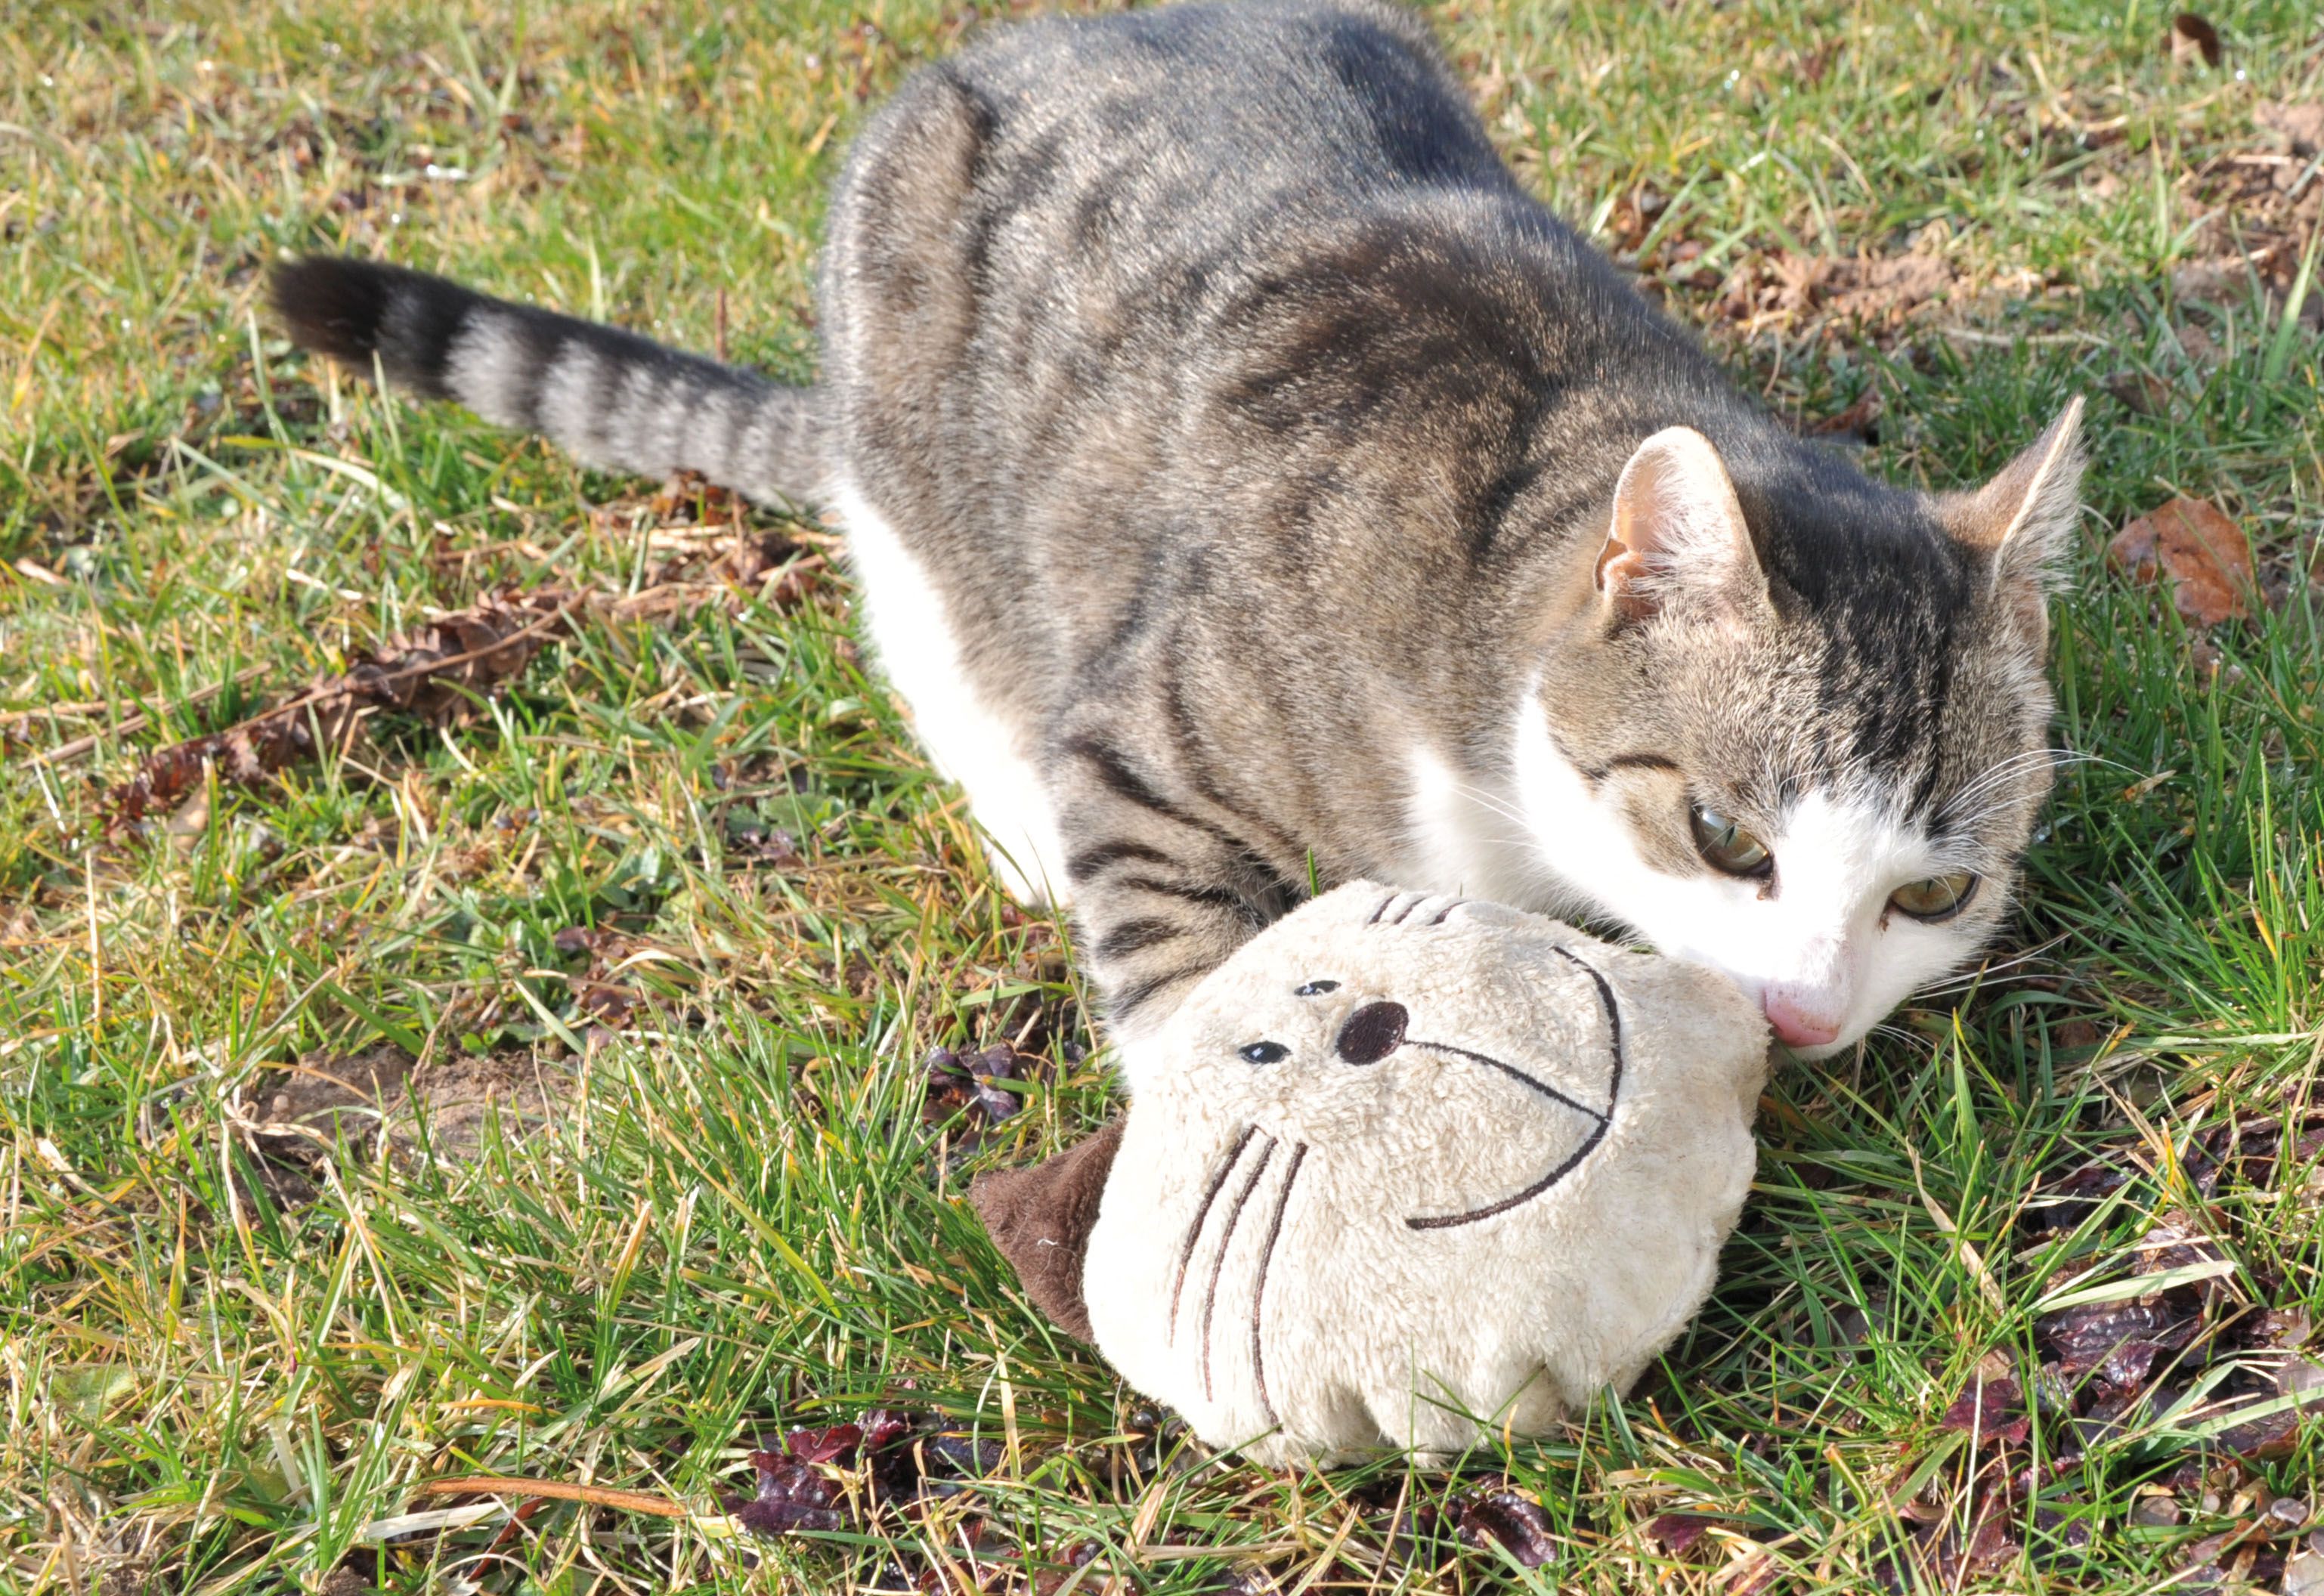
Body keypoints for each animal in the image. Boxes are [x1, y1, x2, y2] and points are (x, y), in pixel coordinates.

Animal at [271, 0, 2091, 1087]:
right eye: (1724, 838)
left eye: (1934, 893)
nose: (1806, 1012)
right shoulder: (1159, 731)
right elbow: (1174, 955)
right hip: (916, 452)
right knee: (938, 637)